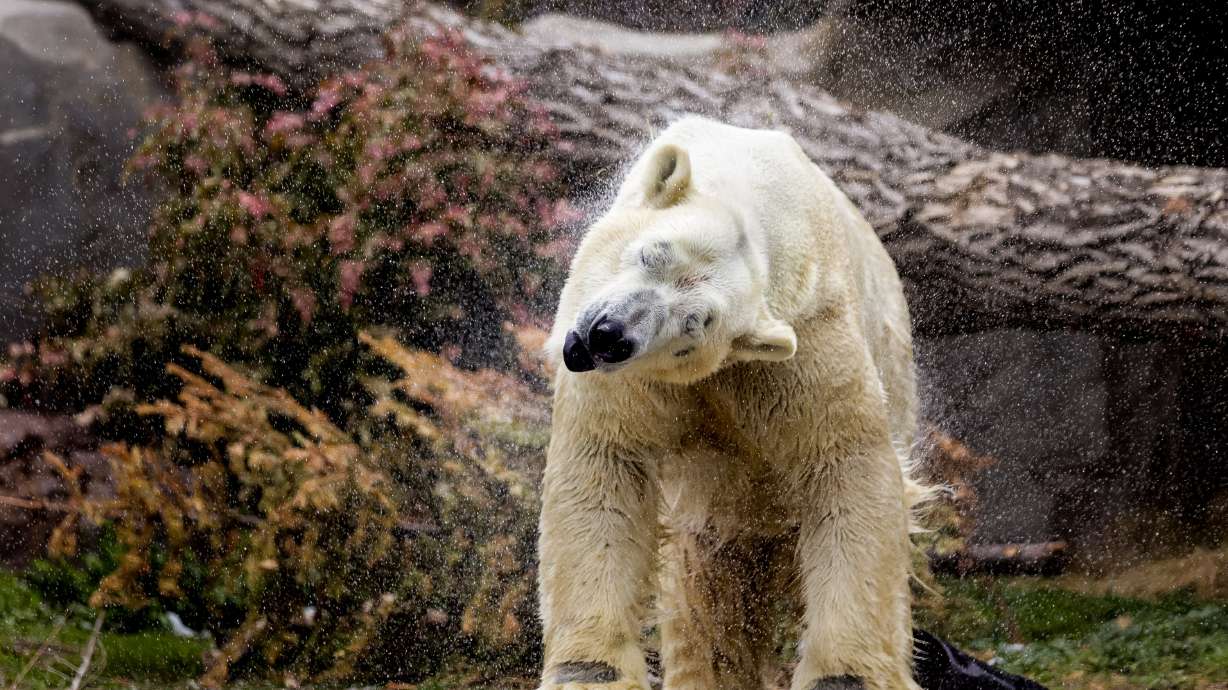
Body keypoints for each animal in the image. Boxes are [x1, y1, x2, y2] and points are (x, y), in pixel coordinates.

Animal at [537, 116, 928, 690]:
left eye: (694, 326)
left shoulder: (801, 347)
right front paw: (589, 671)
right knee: (709, 590)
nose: (609, 336)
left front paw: (842, 676)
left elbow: (845, 465)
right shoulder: (632, 379)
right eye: (651, 252)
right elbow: (609, 466)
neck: (756, 201)